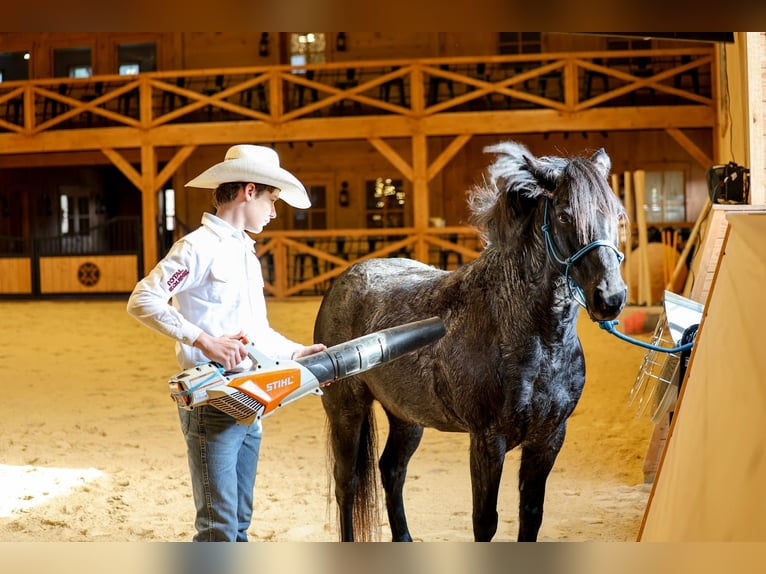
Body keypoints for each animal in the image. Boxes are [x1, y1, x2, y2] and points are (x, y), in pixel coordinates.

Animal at [313, 140, 627, 542]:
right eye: (563, 216)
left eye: (618, 215)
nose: (610, 298)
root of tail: (346, 278)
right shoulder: (487, 440)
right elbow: (485, 521)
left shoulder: (549, 437)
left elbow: (531, 514)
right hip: (346, 410)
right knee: (347, 484)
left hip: (406, 417)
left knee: (392, 471)